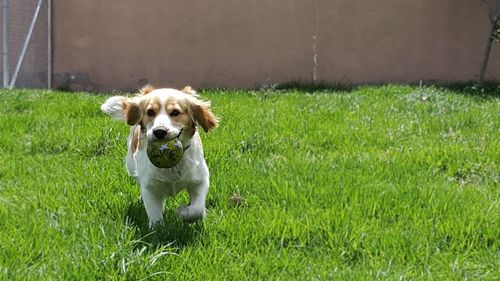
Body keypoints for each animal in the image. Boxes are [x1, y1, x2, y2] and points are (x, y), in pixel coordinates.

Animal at [100, 85, 218, 225]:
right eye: (150, 112)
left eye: (175, 112)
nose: (159, 131)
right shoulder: (150, 187)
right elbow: (155, 214)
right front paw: (157, 227)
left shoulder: (200, 179)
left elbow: (197, 209)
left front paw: (183, 212)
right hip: (132, 166)